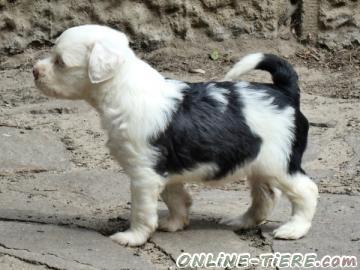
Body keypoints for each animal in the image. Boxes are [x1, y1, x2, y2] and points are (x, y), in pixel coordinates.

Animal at [33, 24, 318, 246]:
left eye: (60, 62)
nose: (34, 70)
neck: (123, 88)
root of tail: (283, 92)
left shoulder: (143, 174)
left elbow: (142, 211)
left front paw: (133, 237)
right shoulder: (165, 170)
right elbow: (175, 197)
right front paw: (174, 223)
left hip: (279, 163)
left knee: (306, 191)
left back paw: (293, 229)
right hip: (258, 163)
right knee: (265, 196)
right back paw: (240, 221)